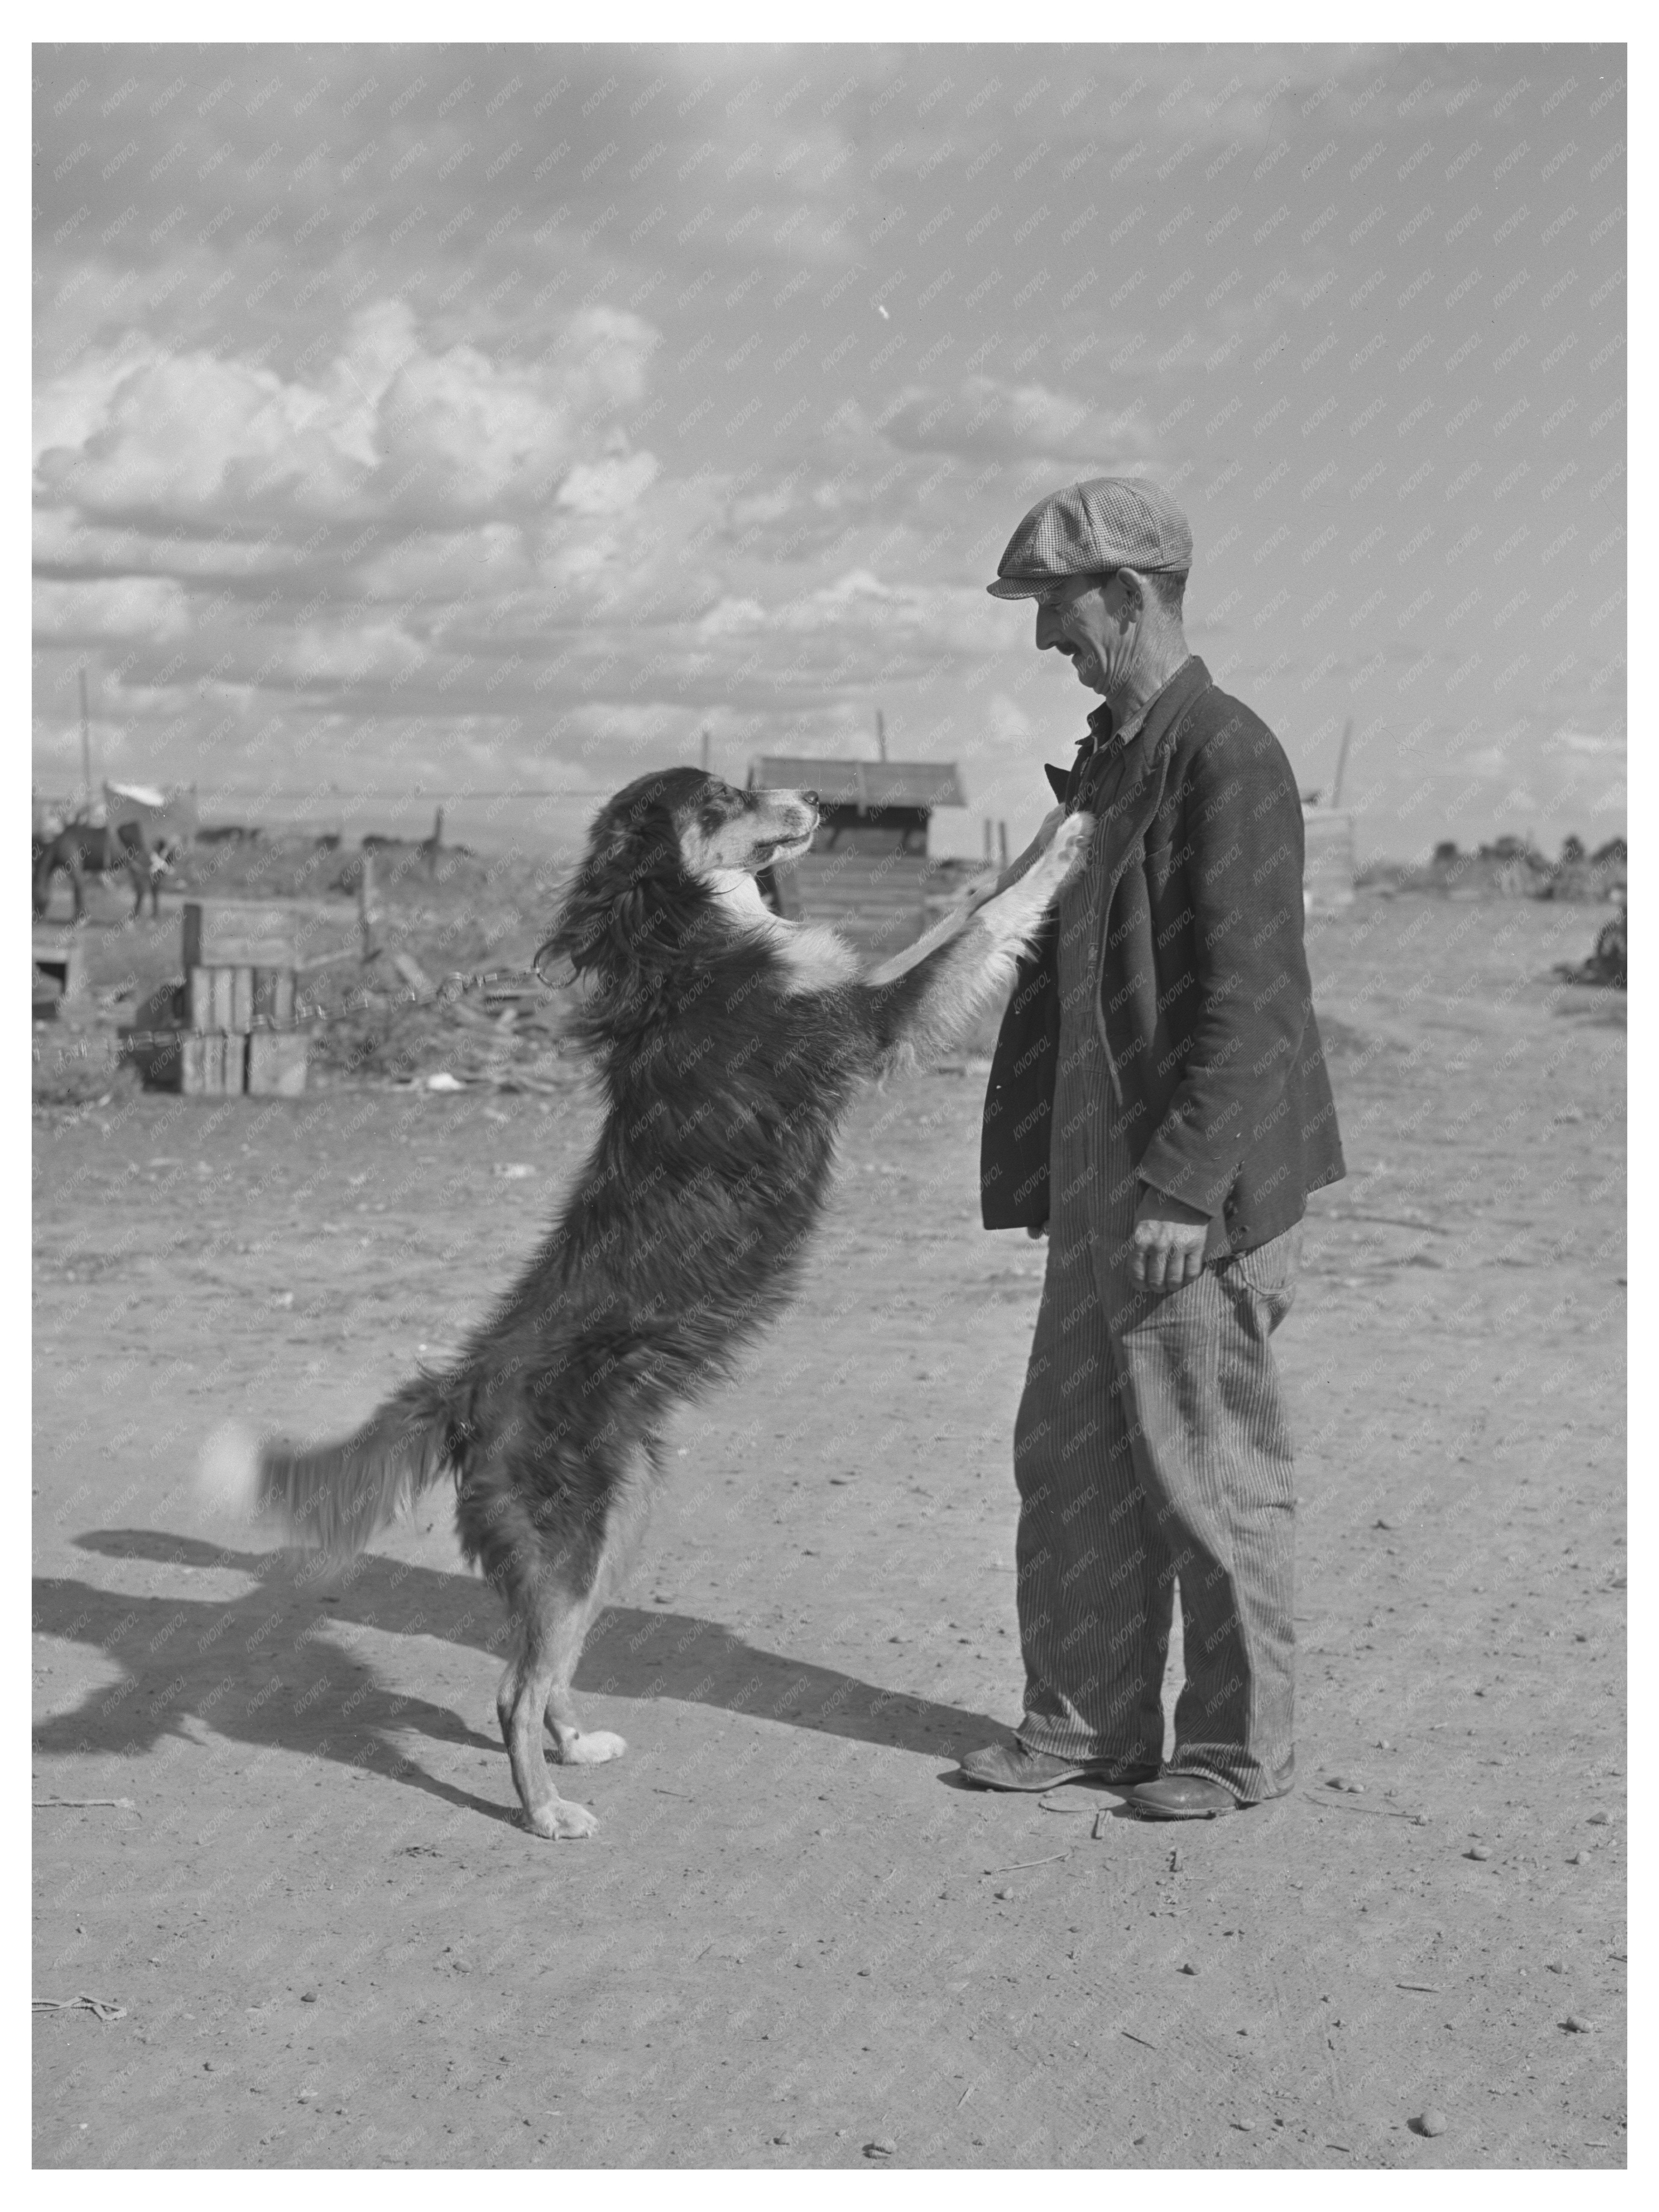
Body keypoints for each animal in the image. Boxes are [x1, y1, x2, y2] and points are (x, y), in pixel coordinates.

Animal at [201, 770, 1097, 1840]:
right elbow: (980, 920)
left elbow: (972, 903)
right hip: (571, 1538)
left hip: (609, 1536)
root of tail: (466, 1387)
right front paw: (1067, 840)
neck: (684, 940)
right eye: (720, 799)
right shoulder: (870, 1019)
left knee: (548, 1670)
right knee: (511, 1690)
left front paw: (1044, 826)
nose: (811, 791)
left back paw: (576, 1745)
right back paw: (548, 1812)